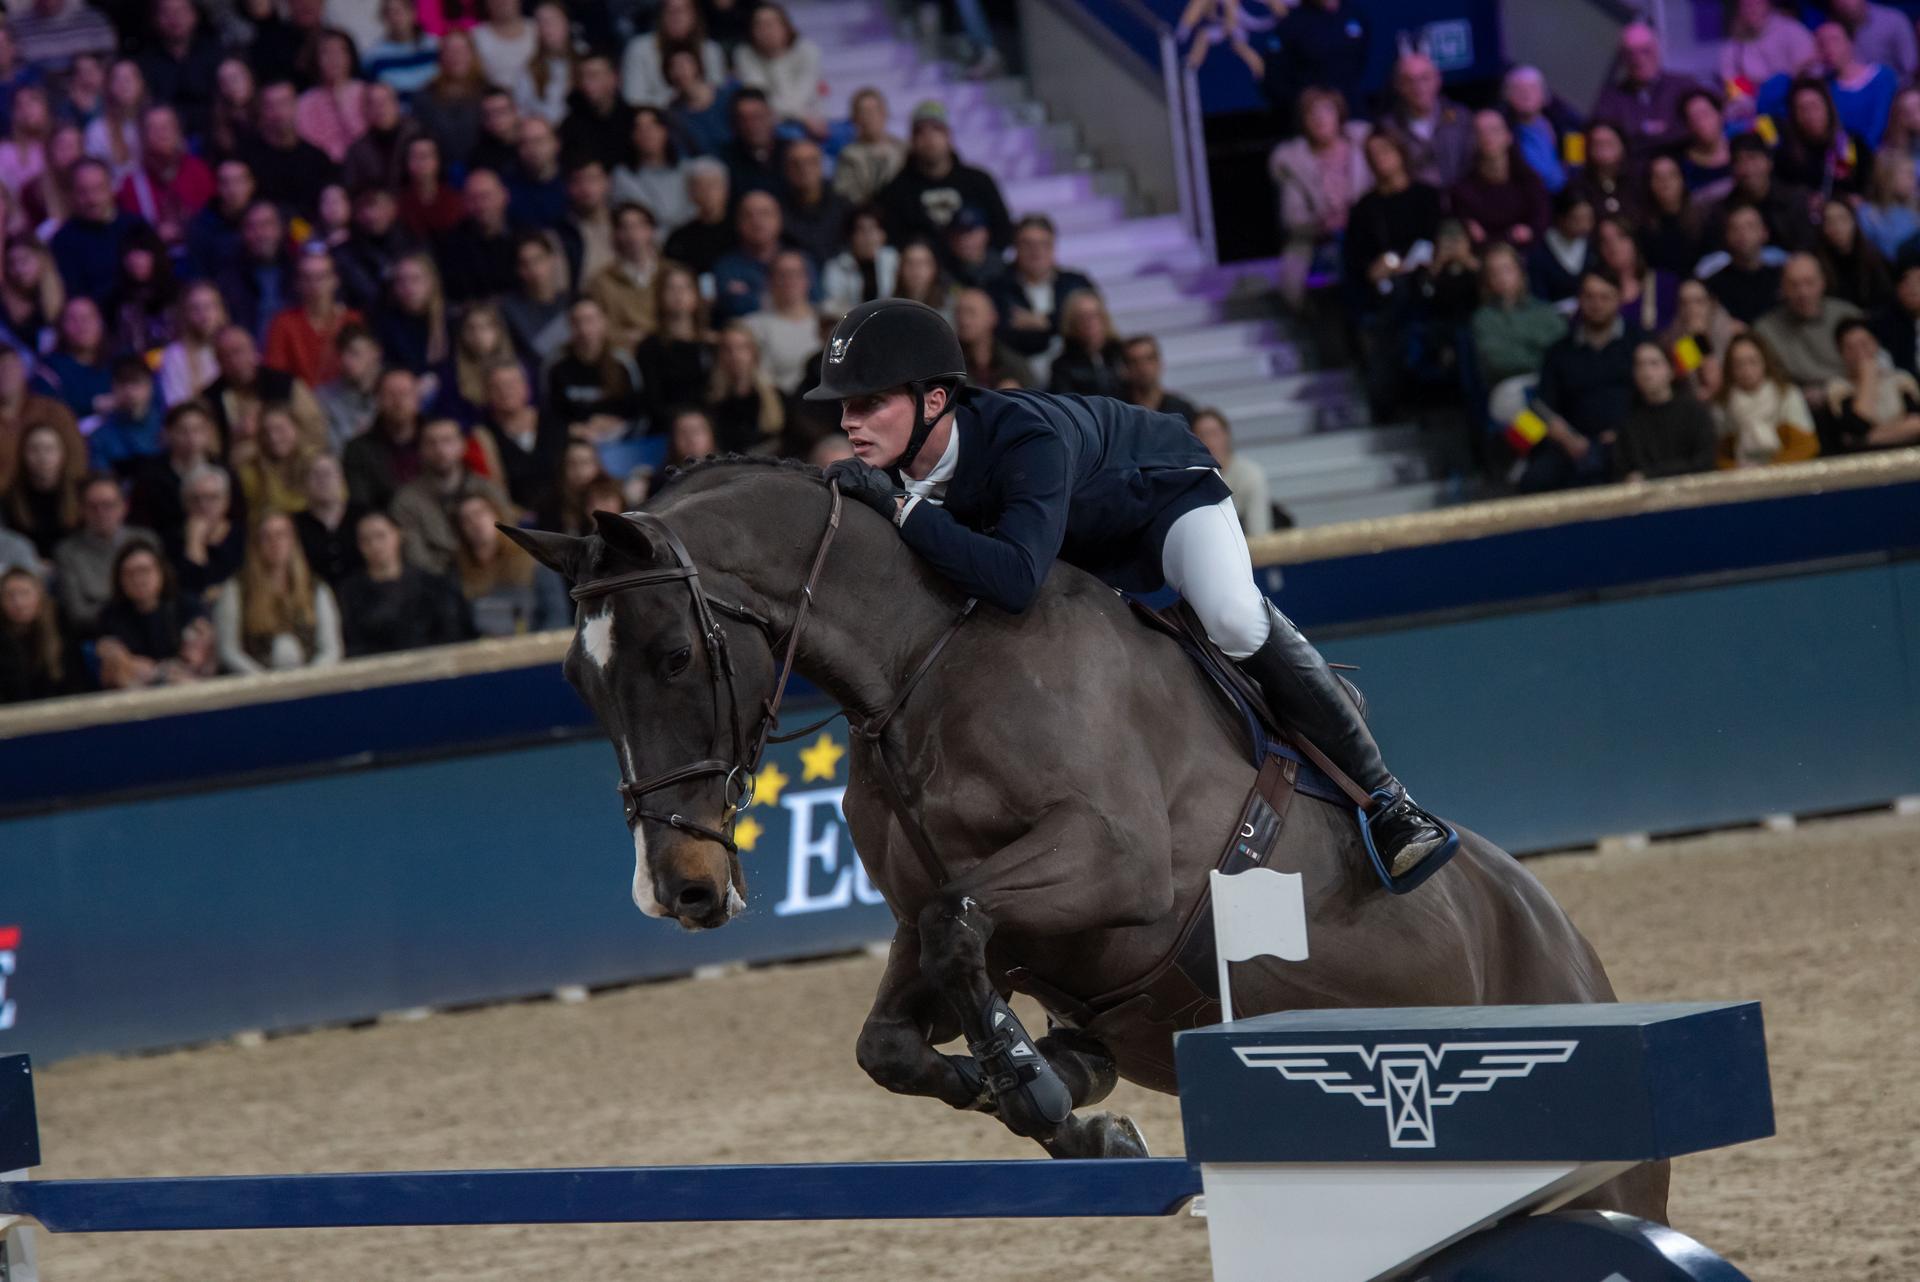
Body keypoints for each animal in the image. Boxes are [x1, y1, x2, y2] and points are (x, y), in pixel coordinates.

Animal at [501, 457, 1667, 1222]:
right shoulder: (935, 917)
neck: (922, 661)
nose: (683, 888)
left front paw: (1038, 1078)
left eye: (670, 657)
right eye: (576, 681)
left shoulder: (1116, 865)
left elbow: (960, 923)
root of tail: (1570, 945)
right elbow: (899, 1021)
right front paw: (1067, 1098)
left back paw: (1407, 831)